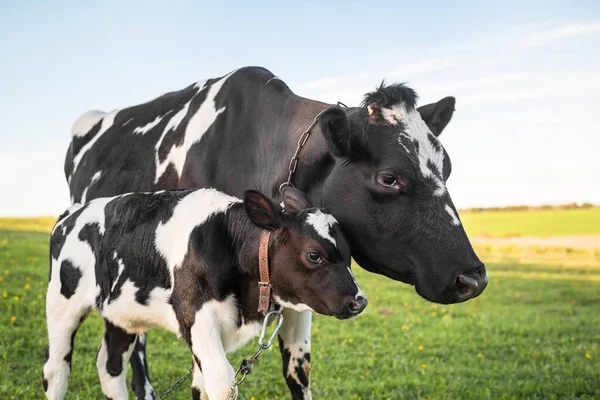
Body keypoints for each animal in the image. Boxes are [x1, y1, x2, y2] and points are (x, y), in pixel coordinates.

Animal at [42, 188, 366, 400]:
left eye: (350, 253)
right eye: (314, 255)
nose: (359, 301)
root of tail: (70, 214)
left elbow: (296, 374)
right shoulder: (197, 318)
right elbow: (222, 383)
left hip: (121, 315)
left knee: (110, 367)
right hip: (62, 303)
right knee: (55, 369)